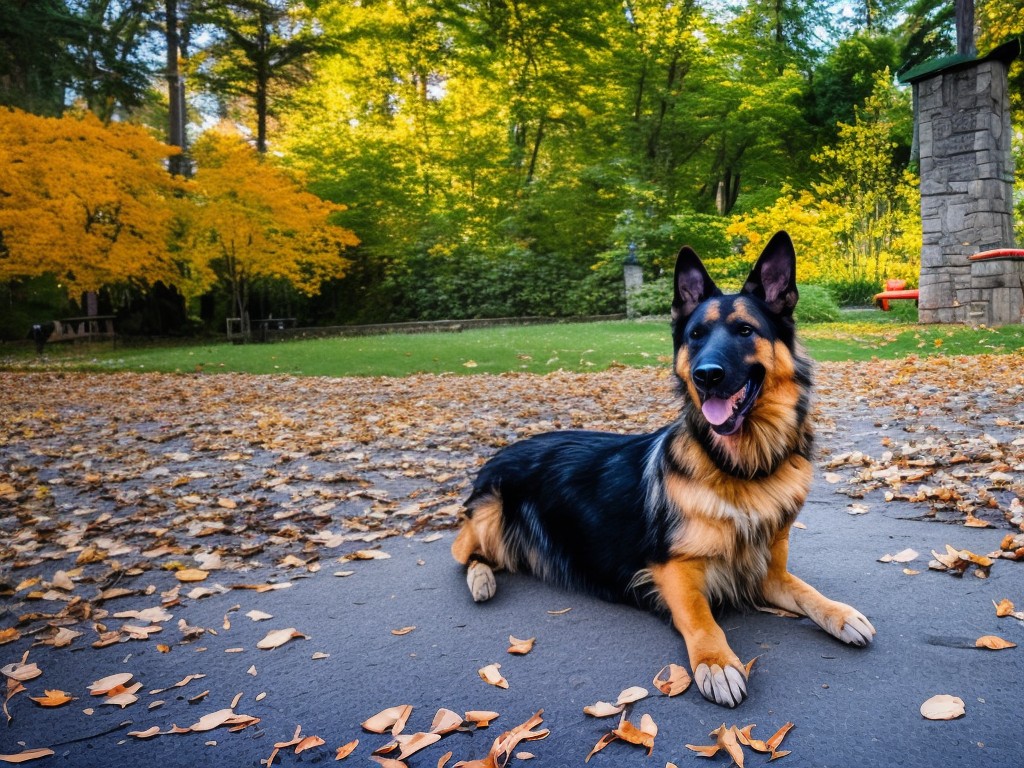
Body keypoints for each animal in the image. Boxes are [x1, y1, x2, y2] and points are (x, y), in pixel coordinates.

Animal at [452, 231, 876, 708]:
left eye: (745, 330)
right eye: (695, 335)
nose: (706, 375)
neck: (741, 469)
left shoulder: (771, 573)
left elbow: (808, 592)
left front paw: (840, 613)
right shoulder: (672, 569)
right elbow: (701, 617)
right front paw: (717, 662)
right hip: (490, 514)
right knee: (464, 551)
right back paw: (482, 579)